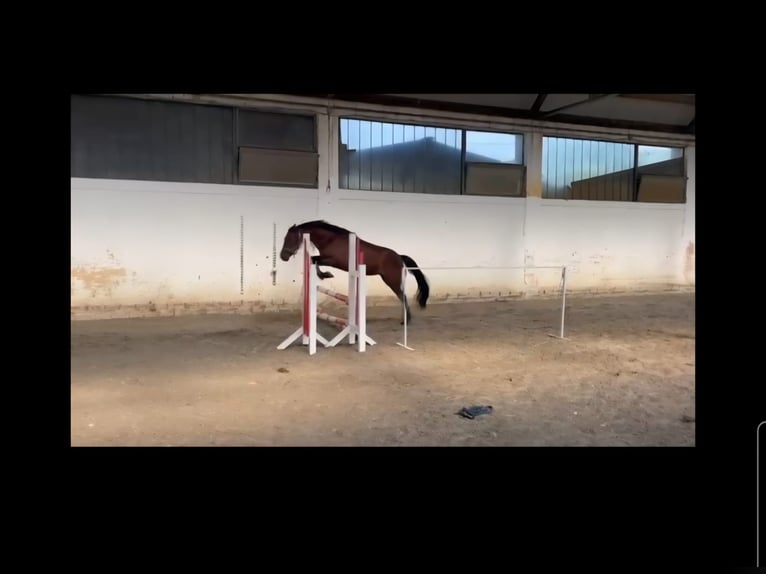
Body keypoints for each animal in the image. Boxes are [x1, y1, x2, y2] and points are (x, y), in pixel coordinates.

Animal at [279, 220, 430, 324]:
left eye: (290, 238)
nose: (283, 256)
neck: (331, 240)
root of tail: (399, 256)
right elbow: (313, 260)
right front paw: (325, 275)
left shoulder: (334, 261)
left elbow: (314, 260)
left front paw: (325, 275)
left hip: (392, 281)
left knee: (403, 296)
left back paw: (406, 320)